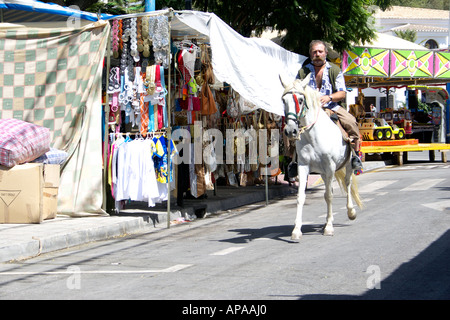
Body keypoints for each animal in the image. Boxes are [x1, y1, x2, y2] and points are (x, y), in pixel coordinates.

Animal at [282, 75, 362, 240]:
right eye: (283, 100)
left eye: (301, 99)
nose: (290, 131)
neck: (312, 135)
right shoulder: (303, 166)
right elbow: (301, 197)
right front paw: (296, 230)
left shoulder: (330, 166)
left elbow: (329, 196)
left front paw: (329, 227)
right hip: (324, 173)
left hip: (347, 165)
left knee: (347, 183)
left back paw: (350, 212)